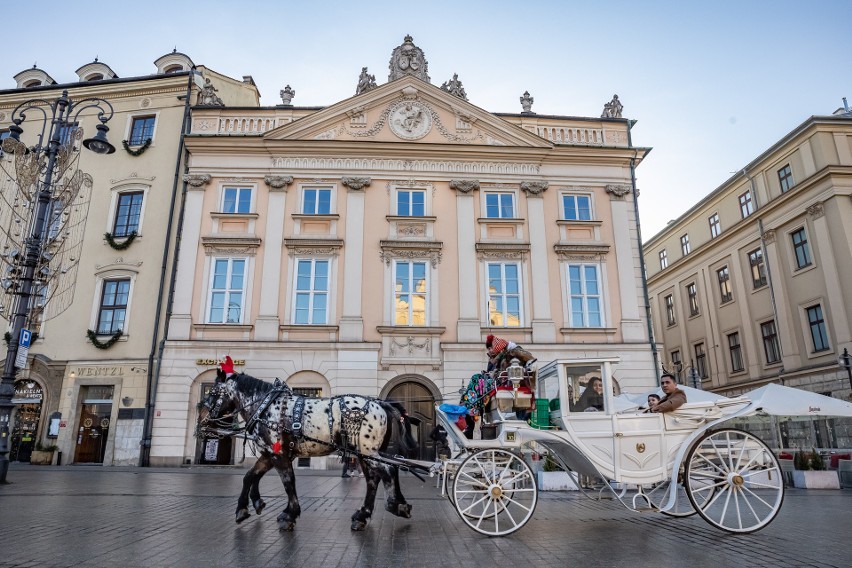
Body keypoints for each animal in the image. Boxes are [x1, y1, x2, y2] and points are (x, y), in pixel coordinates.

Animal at [196, 366, 416, 532]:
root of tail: (381, 403)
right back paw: (362, 515)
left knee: (388, 471)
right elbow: (250, 476)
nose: (201, 419)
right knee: (374, 480)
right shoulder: (269, 453)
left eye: (213, 393)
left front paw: (288, 514)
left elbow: (288, 483)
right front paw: (244, 509)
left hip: (368, 453)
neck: (266, 406)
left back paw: (396, 505)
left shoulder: (279, 455)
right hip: (364, 454)